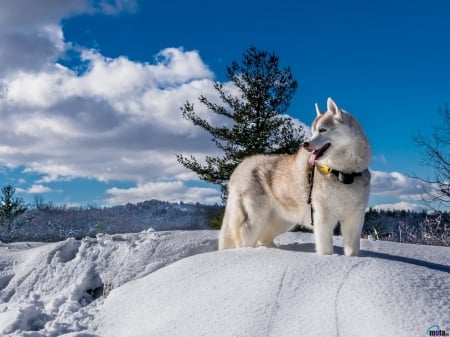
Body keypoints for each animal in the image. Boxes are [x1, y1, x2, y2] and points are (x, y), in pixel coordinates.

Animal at [218, 97, 370, 255]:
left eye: (322, 130)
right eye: (313, 131)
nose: (305, 144)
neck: (342, 173)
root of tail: (240, 166)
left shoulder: (354, 219)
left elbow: (352, 251)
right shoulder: (323, 217)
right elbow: (326, 249)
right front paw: (327, 258)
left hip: (283, 220)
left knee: (264, 237)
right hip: (253, 221)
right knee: (244, 242)